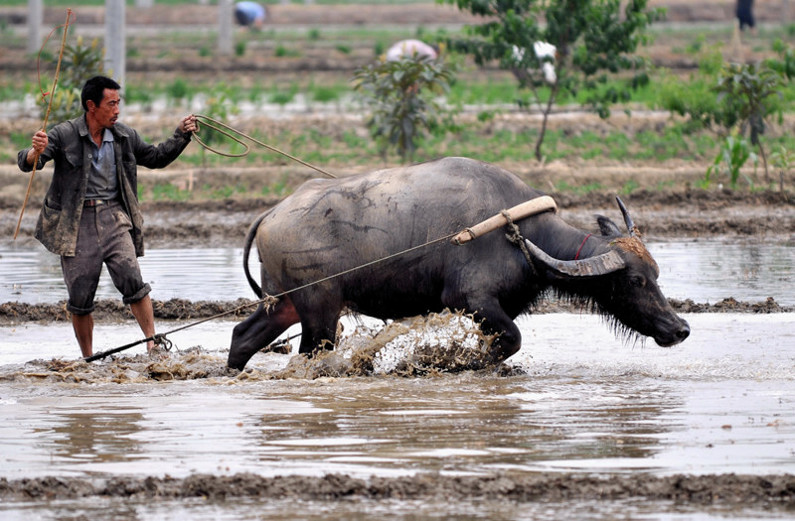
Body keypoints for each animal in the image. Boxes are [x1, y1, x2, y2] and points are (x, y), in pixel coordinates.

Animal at [227, 156, 688, 368]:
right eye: (635, 282)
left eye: (656, 274)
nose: (680, 328)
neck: (523, 238)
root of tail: (273, 213)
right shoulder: (470, 299)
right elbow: (512, 341)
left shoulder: (497, 309)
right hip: (319, 309)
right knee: (309, 355)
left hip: (285, 303)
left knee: (243, 335)